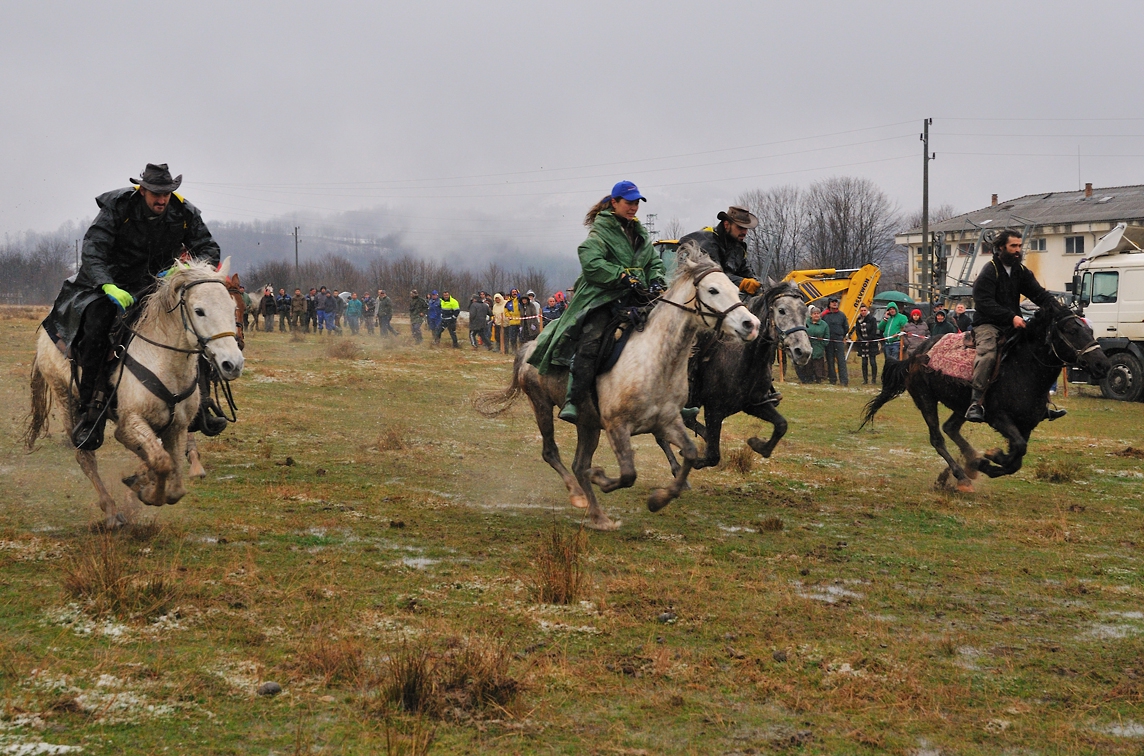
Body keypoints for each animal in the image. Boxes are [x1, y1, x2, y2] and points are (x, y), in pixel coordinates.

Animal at [27, 256, 244, 528]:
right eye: (199, 311)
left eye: (232, 307)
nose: (232, 363)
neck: (164, 361)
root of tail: (45, 338)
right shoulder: (131, 421)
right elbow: (162, 462)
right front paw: (149, 493)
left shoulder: (177, 426)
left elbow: (174, 480)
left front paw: (145, 483)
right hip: (66, 399)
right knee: (86, 458)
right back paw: (112, 513)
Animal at [475, 244, 759, 528]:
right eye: (712, 290)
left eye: (736, 290)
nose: (751, 325)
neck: (655, 362)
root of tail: (528, 347)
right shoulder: (617, 426)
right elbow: (628, 474)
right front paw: (600, 477)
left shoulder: (667, 422)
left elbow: (688, 453)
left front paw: (659, 500)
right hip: (542, 406)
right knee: (551, 453)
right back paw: (579, 496)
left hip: (588, 423)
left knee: (578, 464)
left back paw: (597, 514)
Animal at [658, 283, 809, 471]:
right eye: (781, 310)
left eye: (805, 312)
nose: (803, 352)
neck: (744, 361)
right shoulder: (714, 411)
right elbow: (713, 456)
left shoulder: (754, 404)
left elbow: (781, 425)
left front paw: (757, 444)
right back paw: (677, 467)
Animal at [860, 306, 1111, 489]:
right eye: (1072, 331)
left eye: (1089, 331)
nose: (1103, 364)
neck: (1024, 368)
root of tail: (916, 354)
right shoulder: (999, 418)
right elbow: (1016, 451)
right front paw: (992, 458)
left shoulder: (1027, 425)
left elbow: (1017, 459)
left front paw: (986, 461)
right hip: (926, 399)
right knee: (937, 439)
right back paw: (961, 475)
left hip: (962, 405)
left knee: (950, 428)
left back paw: (968, 464)